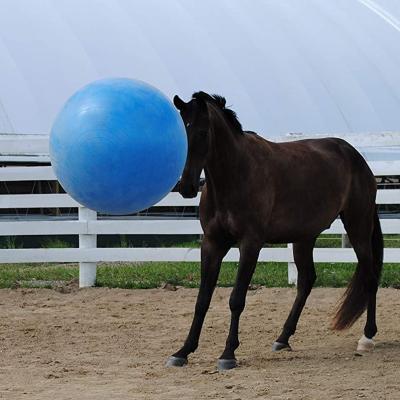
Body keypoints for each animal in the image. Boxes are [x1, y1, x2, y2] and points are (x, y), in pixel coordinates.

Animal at [166, 92, 384, 370]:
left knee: (369, 277)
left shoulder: (250, 244)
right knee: (306, 281)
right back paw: (283, 338)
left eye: (203, 132)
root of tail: (355, 157)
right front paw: (183, 351)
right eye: (181, 131)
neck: (235, 175)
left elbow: (236, 299)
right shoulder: (212, 244)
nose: (186, 187)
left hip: (358, 226)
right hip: (304, 238)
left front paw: (228, 354)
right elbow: (202, 300)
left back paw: (367, 337)